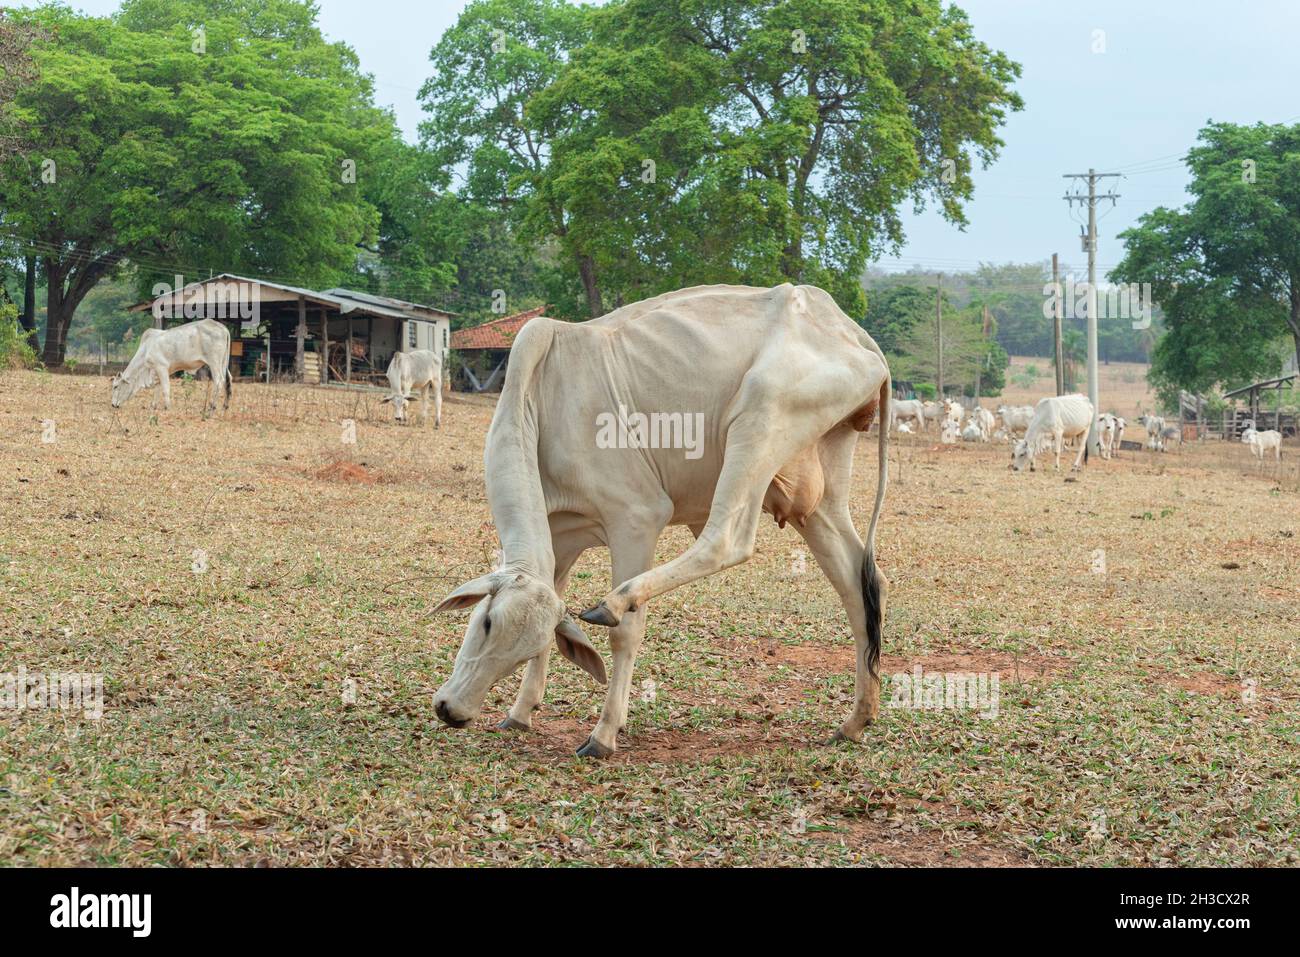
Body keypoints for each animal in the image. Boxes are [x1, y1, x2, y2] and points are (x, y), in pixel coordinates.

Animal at [431, 280, 889, 759]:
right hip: (819, 495)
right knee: (859, 585)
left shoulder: (635, 519)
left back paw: (615, 601)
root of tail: (848, 330)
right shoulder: (558, 538)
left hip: (758, 419)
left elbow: (626, 636)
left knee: (726, 540)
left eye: (488, 622)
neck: (541, 395)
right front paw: (520, 712)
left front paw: (604, 734)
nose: (452, 711)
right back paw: (856, 720)